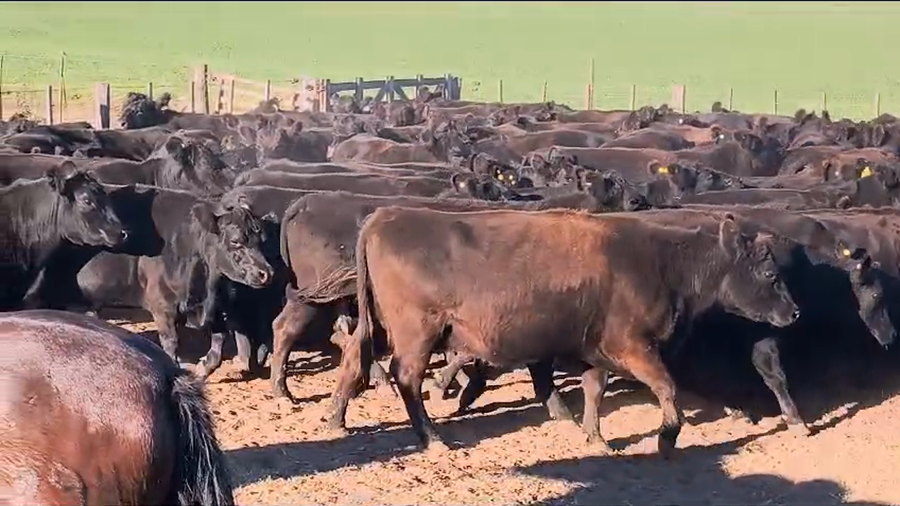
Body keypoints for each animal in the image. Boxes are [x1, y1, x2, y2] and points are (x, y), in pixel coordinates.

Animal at [328, 208, 799, 459]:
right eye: (771, 275)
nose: (794, 312)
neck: (663, 264)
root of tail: (387, 215)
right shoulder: (633, 346)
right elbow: (667, 387)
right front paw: (667, 438)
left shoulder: (596, 348)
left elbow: (595, 389)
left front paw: (595, 436)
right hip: (418, 333)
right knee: (407, 378)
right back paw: (432, 439)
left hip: (382, 326)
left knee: (353, 359)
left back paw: (336, 419)